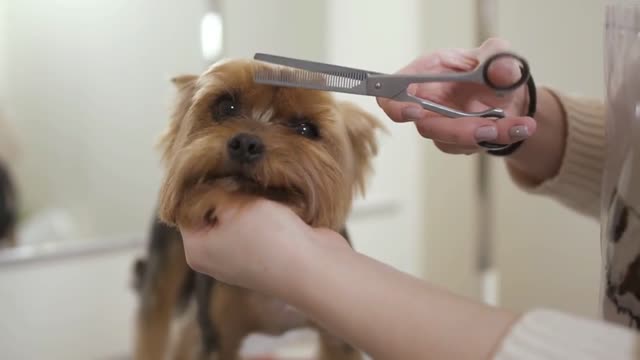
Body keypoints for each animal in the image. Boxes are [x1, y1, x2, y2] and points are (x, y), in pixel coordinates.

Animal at [134, 59, 384, 360]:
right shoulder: (219, 338)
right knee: (155, 318)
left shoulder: (338, 338)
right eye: (225, 107)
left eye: (306, 129)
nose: (246, 144)